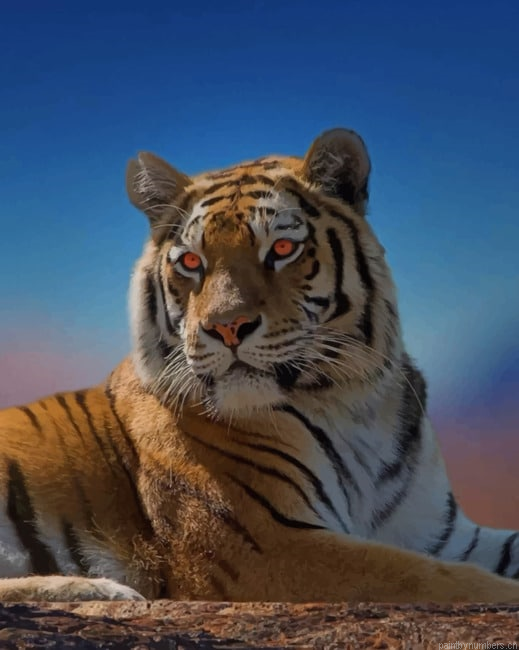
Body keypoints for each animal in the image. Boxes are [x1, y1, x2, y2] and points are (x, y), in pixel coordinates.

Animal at [0, 128, 519, 604]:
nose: (227, 327)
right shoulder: (267, 543)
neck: (358, 402)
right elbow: (442, 580)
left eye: (282, 250)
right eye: (191, 261)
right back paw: (100, 589)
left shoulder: (441, 533)